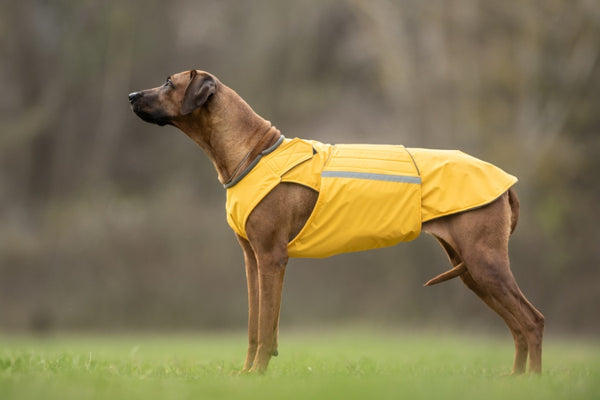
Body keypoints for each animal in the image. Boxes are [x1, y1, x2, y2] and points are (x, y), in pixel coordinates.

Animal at [129, 70, 548, 374]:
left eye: (169, 82)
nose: (131, 96)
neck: (253, 151)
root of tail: (505, 183)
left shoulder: (272, 259)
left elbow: (266, 328)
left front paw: (258, 375)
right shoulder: (251, 260)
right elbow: (252, 326)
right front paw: (245, 375)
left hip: (484, 263)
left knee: (532, 321)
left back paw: (531, 381)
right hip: (471, 271)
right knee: (516, 326)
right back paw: (514, 380)